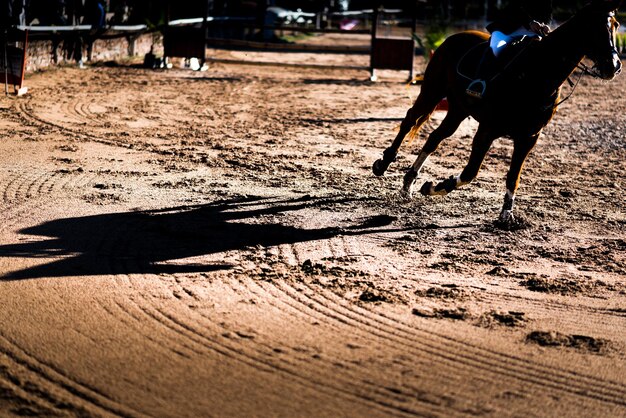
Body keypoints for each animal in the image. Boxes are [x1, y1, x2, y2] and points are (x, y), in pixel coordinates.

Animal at [370, 0, 620, 225]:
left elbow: (513, 177)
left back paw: (408, 183)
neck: (537, 75)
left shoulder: (528, 137)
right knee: (410, 120)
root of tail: (452, 38)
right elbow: (471, 172)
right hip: (432, 91)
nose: (614, 66)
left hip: (459, 108)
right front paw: (436, 186)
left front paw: (506, 215)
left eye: (615, 25)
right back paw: (384, 164)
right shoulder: (487, 130)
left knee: (435, 137)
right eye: (592, 27)